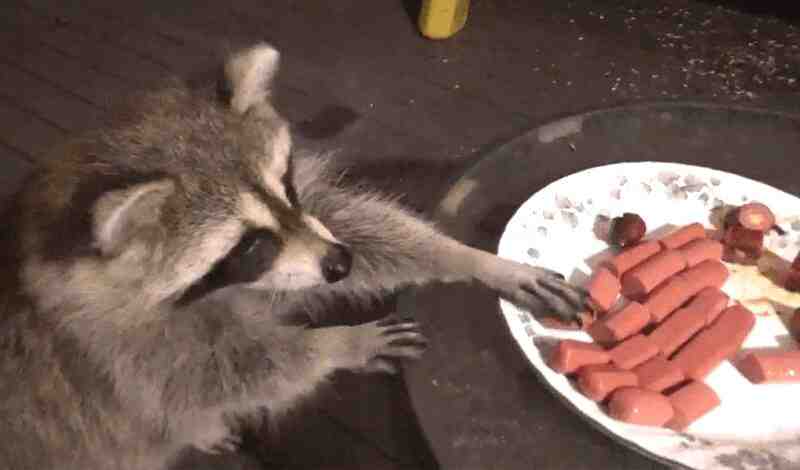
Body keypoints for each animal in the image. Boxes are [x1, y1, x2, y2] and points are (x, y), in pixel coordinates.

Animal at [0, 44, 588, 470]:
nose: (338, 266)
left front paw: (470, 258)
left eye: (286, 186)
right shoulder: (117, 343)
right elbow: (224, 372)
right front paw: (339, 344)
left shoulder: (308, 229)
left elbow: (354, 227)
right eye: (250, 245)